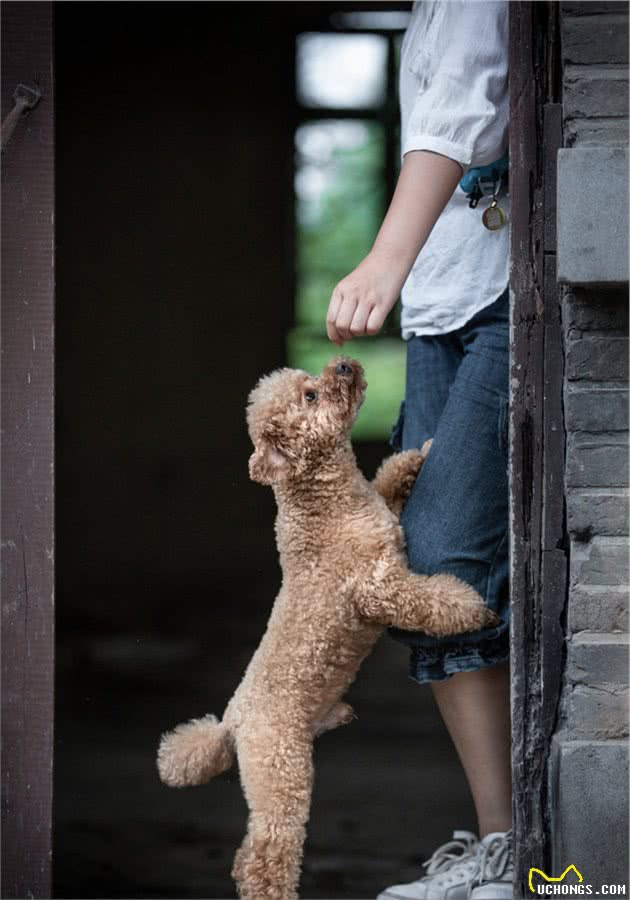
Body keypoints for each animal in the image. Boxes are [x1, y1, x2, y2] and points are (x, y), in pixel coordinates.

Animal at [158, 358, 498, 900]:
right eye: (312, 397)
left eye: (308, 380)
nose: (344, 363)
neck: (324, 500)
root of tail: (231, 724)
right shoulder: (379, 588)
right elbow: (429, 600)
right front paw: (472, 607)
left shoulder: (381, 517)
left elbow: (389, 477)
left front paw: (418, 457)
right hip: (282, 774)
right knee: (265, 852)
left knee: (246, 855)